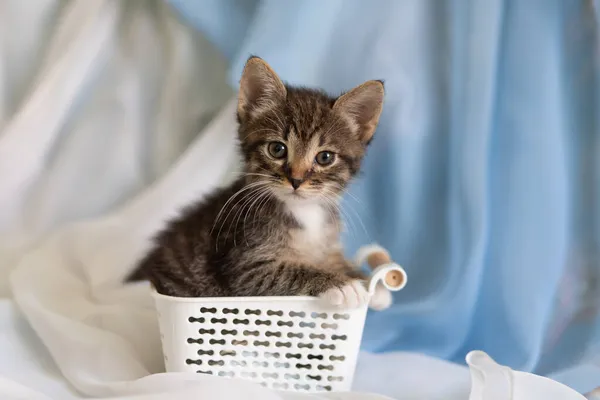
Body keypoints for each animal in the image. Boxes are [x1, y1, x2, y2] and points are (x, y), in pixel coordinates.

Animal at [127, 55, 390, 310]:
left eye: (325, 157)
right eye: (277, 149)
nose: (296, 179)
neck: (304, 212)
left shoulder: (327, 245)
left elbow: (335, 259)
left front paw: (371, 283)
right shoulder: (243, 266)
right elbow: (292, 271)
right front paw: (343, 285)